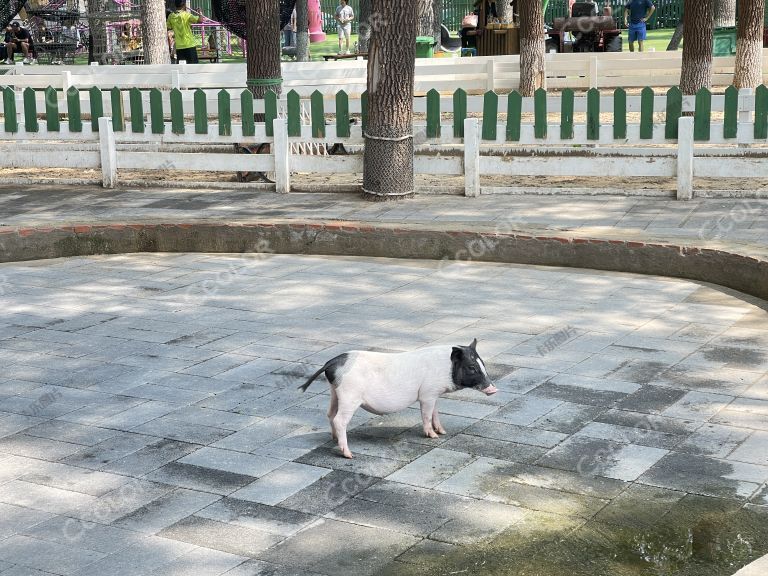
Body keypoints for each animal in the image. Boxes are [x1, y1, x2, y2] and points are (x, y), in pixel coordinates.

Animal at [296, 338, 496, 460]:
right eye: (471, 367)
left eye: (482, 364)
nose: (494, 388)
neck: (446, 368)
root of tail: (332, 363)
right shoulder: (427, 394)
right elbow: (426, 414)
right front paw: (432, 436)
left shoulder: (434, 394)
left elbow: (435, 413)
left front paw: (443, 432)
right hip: (349, 396)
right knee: (339, 419)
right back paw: (349, 454)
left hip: (335, 392)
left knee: (330, 414)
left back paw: (334, 439)